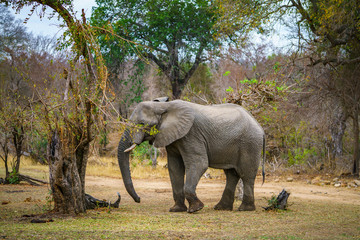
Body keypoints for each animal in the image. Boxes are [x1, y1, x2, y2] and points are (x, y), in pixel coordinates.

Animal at [118, 98, 264, 213]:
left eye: (142, 124)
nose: (139, 199)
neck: (164, 106)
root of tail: (260, 127)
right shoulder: (173, 137)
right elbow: (174, 167)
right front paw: (176, 210)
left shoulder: (191, 134)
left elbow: (199, 163)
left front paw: (195, 209)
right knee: (231, 175)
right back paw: (221, 208)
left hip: (250, 143)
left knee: (246, 174)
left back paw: (245, 209)